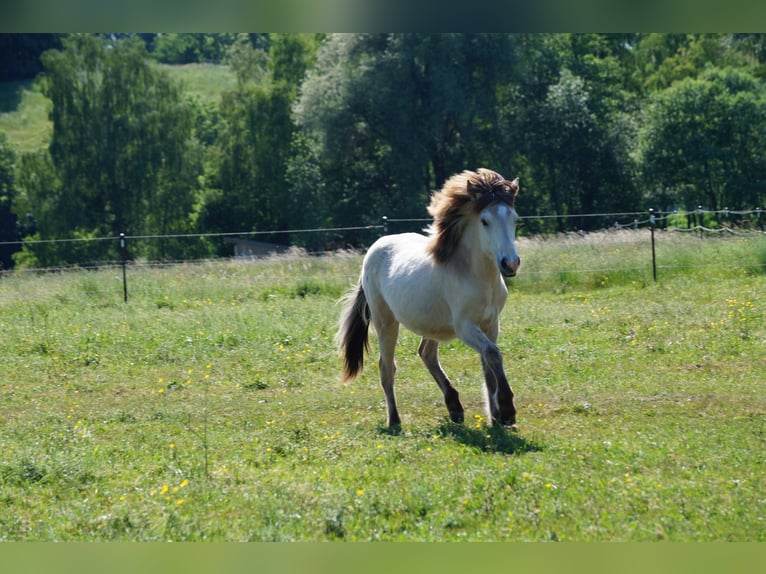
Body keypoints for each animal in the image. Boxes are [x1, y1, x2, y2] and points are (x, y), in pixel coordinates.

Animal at [335, 168, 521, 428]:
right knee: (387, 367)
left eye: (515, 219)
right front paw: (506, 409)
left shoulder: (491, 324)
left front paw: (496, 418)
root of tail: (374, 249)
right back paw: (394, 421)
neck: (478, 277)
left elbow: (488, 362)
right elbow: (493, 354)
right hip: (385, 322)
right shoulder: (465, 326)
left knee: (426, 353)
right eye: (485, 221)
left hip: (432, 324)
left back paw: (454, 407)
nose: (510, 264)